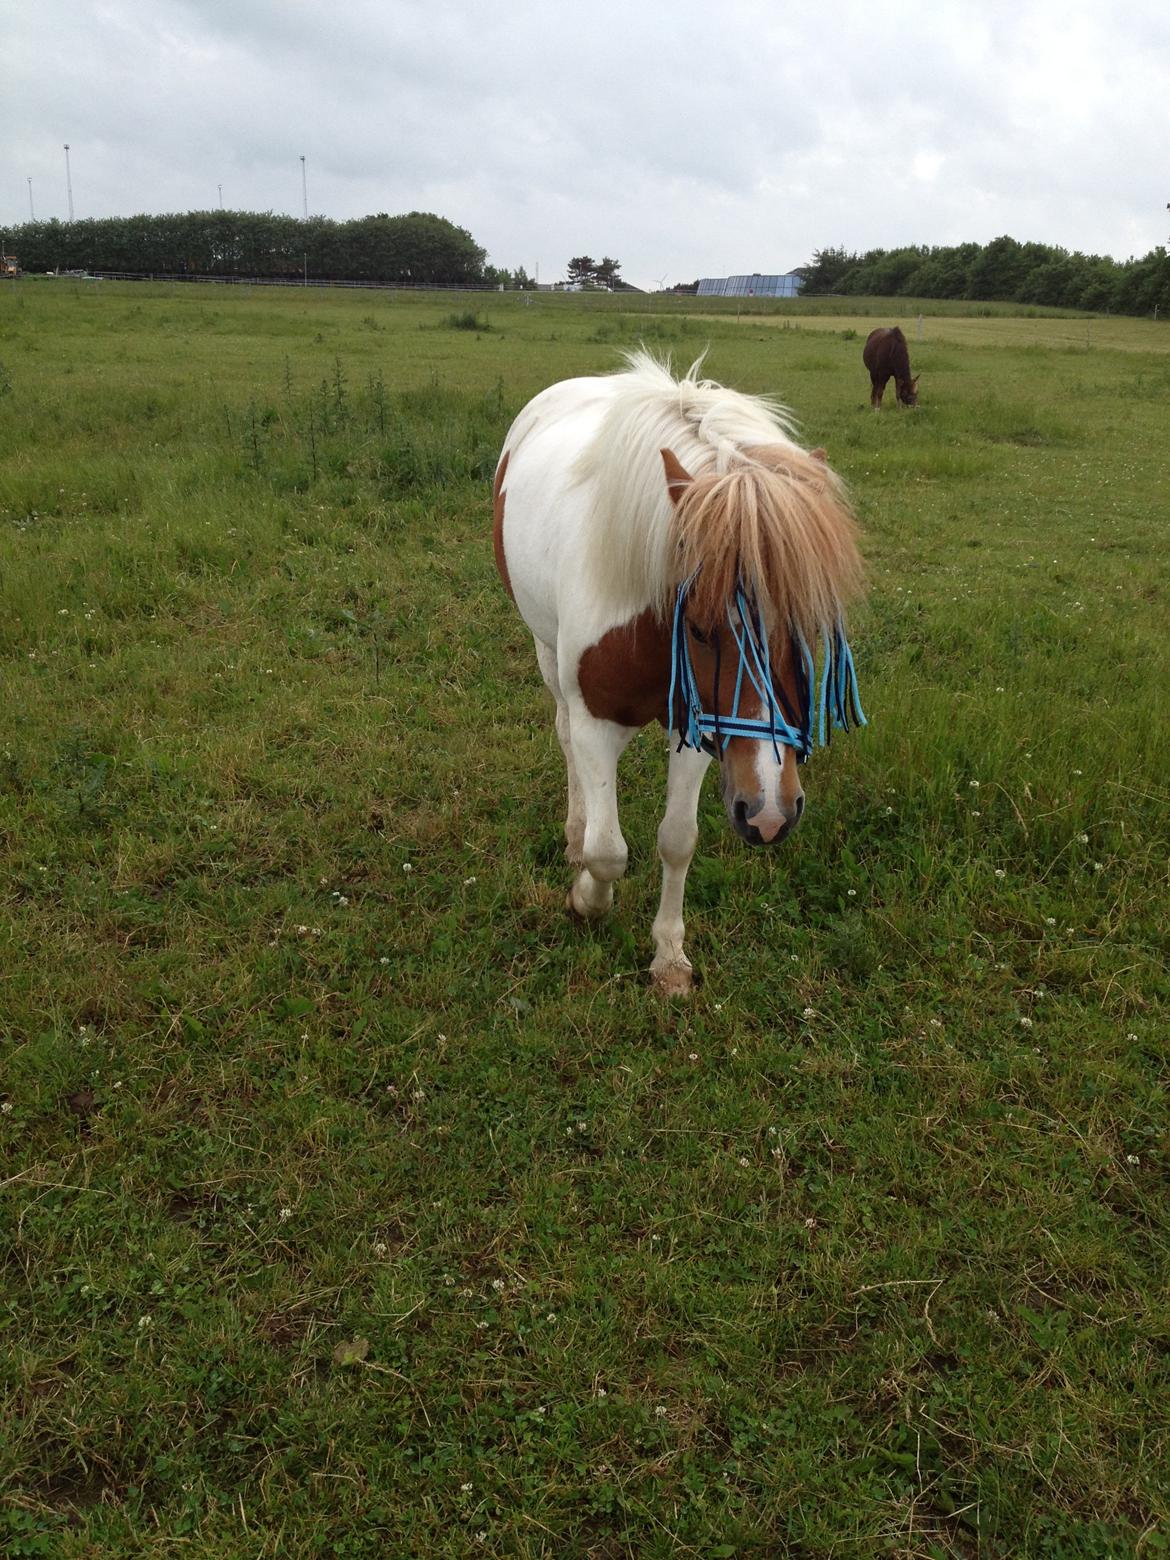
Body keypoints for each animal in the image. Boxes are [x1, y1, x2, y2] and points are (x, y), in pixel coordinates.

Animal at [489, 351, 867, 985]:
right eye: (699, 628)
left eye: (809, 628)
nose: (771, 815)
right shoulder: (596, 722)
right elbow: (608, 851)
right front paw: (586, 899)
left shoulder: (700, 727)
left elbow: (677, 840)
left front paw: (668, 956)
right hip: (545, 651)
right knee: (565, 743)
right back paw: (573, 836)